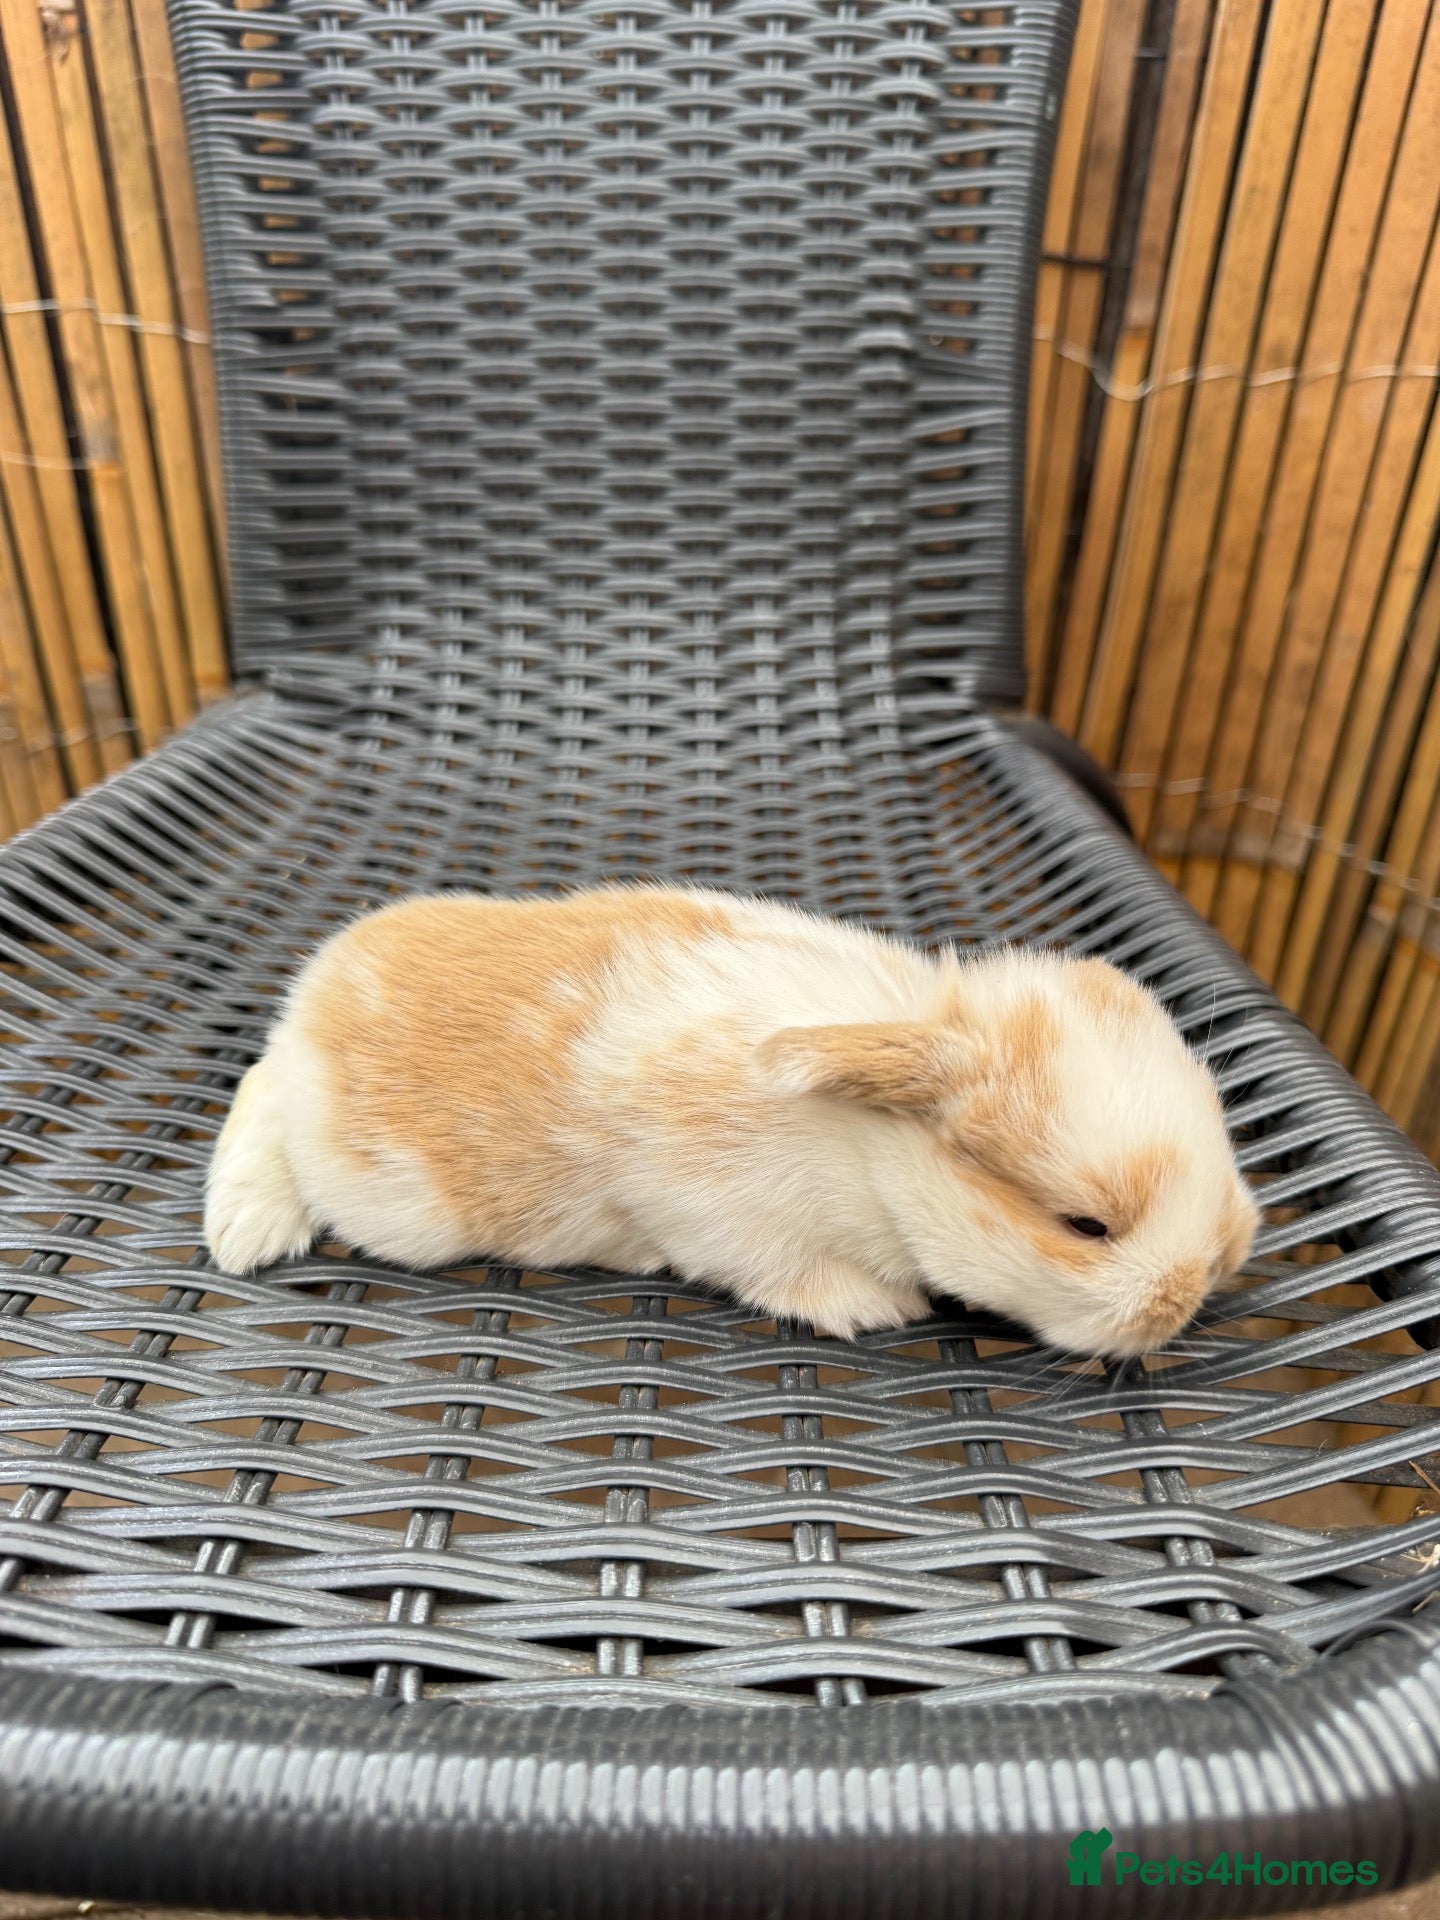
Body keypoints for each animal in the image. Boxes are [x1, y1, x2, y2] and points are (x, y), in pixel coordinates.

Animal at [204, 884, 1258, 1357]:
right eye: (1085, 1225)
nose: (1203, 1280)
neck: (867, 1154)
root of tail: (316, 993)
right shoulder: (716, 1212)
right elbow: (780, 1272)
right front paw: (876, 1306)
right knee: (260, 1102)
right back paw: (248, 1232)